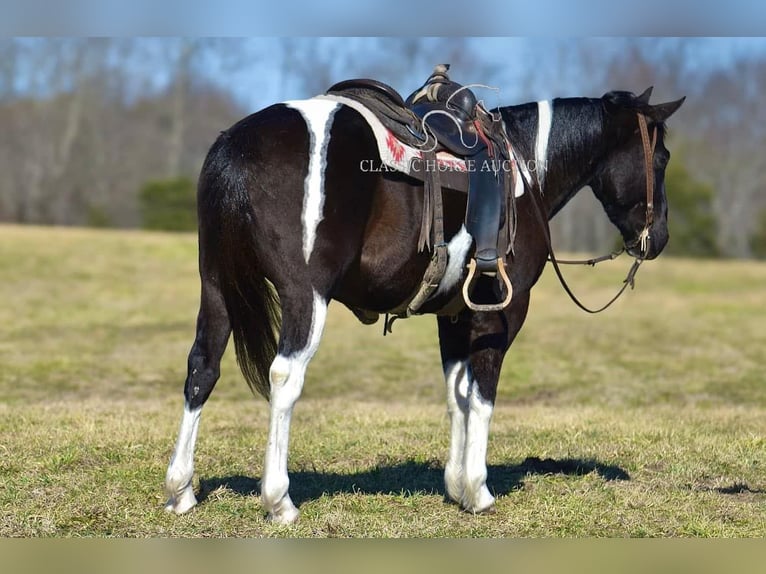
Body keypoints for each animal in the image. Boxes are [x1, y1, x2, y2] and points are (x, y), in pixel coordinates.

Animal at [162, 86, 684, 528]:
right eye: (661, 157)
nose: (659, 238)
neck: (523, 173)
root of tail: (238, 144)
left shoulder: (452, 316)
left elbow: (456, 393)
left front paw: (455, 486)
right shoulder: (502, 313)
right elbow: (482, 395)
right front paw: (478, 490)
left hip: (216, 288)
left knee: (202, 368)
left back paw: (181, 490)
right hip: (304, 296)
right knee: (285, 378)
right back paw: (279, 500)